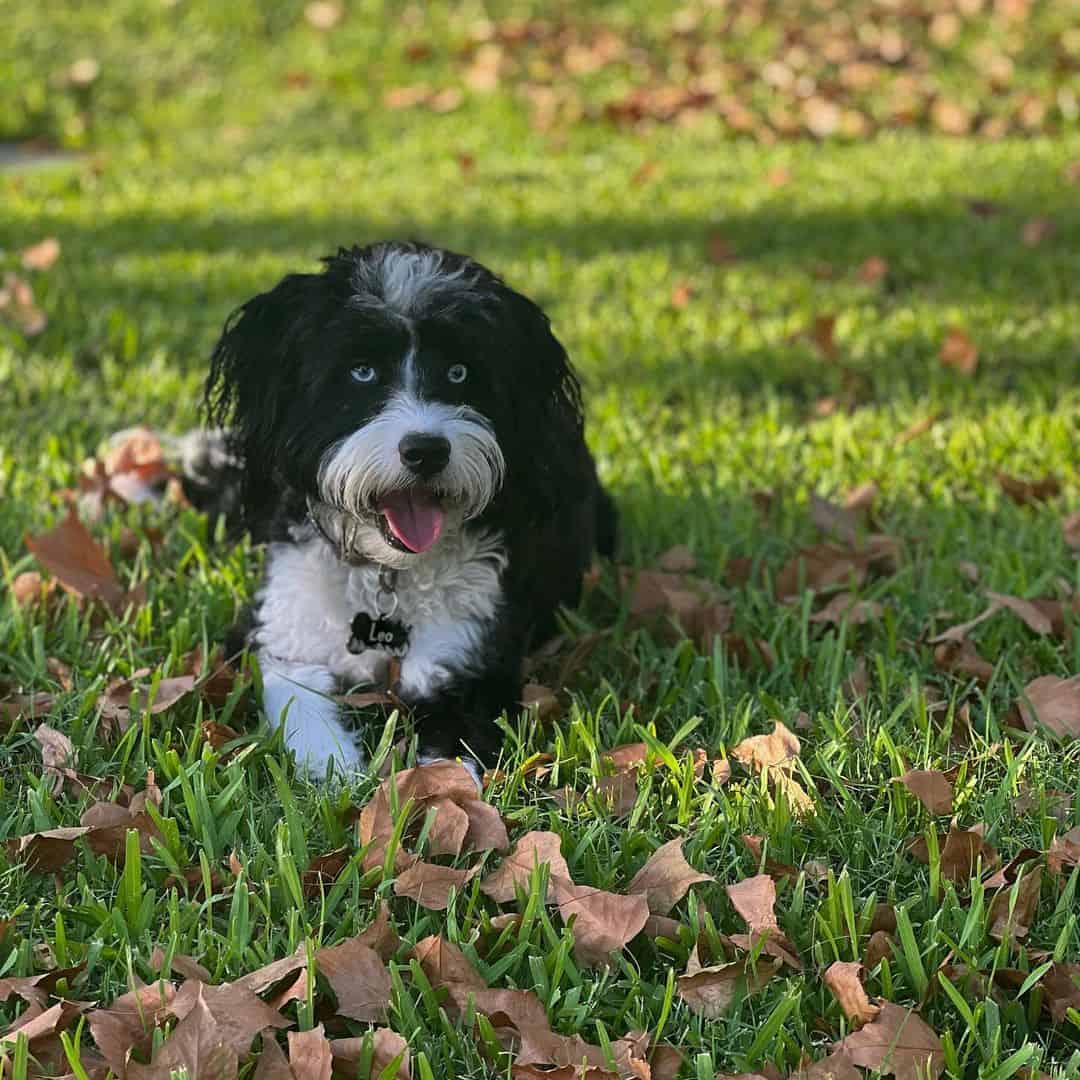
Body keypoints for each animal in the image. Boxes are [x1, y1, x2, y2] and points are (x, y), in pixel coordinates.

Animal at [204, 238, 617, 777]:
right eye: (361, 371)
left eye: (460, 372)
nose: (426, 451)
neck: (387, 577)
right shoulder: (279, 633)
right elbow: (297, 701)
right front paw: (337, 771)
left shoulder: (469, 659)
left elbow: (451, 758)